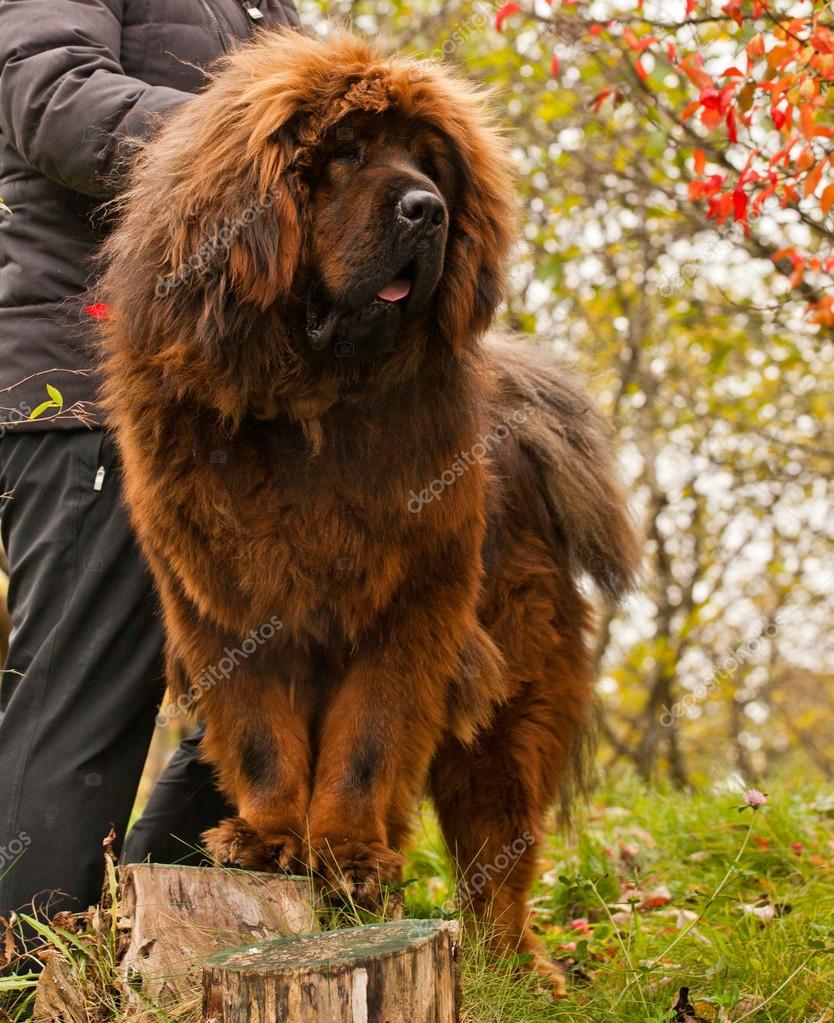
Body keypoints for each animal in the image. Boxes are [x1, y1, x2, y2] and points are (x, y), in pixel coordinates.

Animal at [101, 29, 642, 990]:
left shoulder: (410, 605)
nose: (428, 210)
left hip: (513, 678)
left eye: (427, 161)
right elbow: (263, 738)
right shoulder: (229, 606)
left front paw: (344, 852)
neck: (308, 404)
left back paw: (507, 962)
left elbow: (367, 743)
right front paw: (270, 839)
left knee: (498, 840)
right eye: (345, 155)